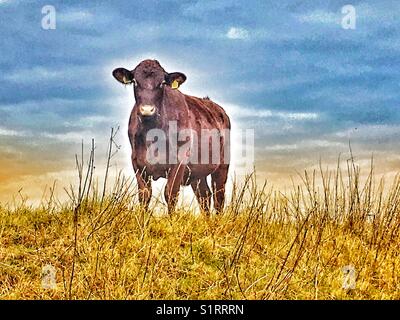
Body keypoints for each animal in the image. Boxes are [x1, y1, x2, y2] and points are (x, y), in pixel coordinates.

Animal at [112, 60, 231, 215]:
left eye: (162, 83)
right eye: (135, 82)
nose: (147, 109)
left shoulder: (179, 160)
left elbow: (171, 193)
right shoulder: (137, 161)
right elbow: (144, 195)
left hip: (222, 165)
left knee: (219, 197)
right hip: (198, 172)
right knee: (204, 195)